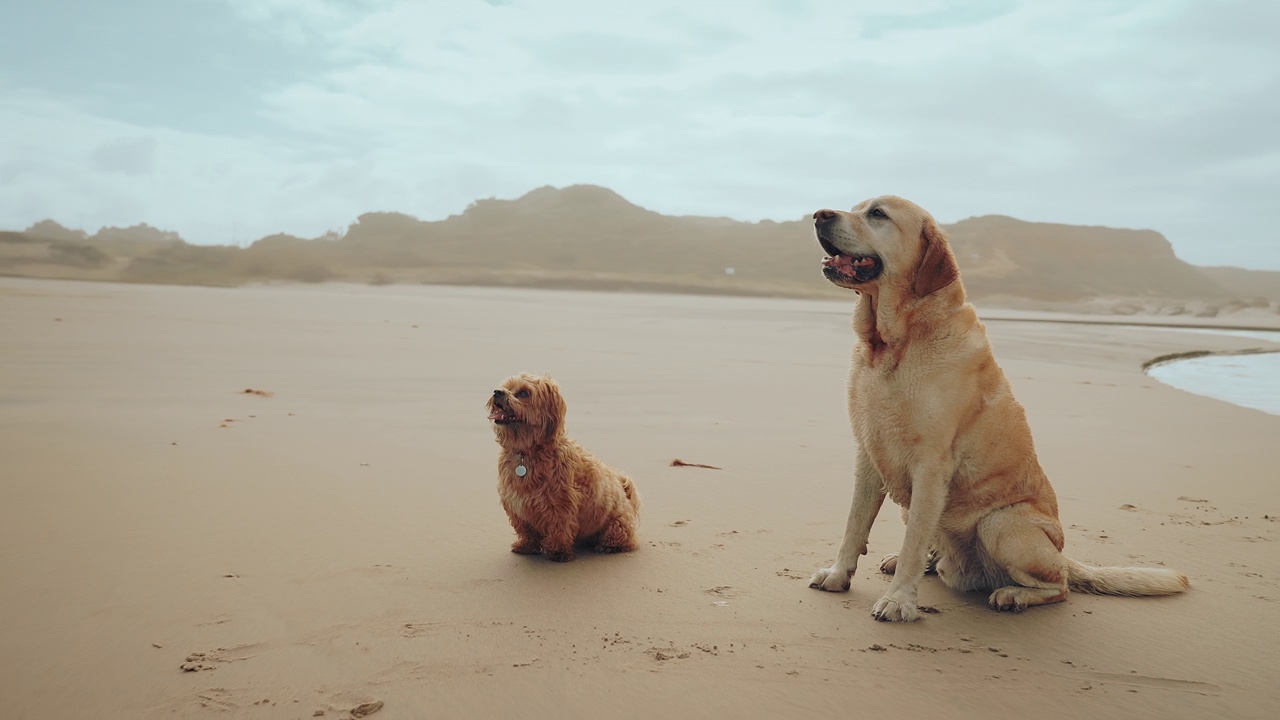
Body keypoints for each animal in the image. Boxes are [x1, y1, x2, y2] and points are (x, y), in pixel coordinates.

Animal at [486, 371, 640, 563]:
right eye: (506, 387)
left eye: (523, 393)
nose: (497, 392)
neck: (527, 452)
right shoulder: (516, 504)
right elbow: (526, 530)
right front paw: (526, 545)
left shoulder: (560, 504)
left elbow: (559, 528)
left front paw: (558, 552)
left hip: (617, 523)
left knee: (626, 539)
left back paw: (609, 546)